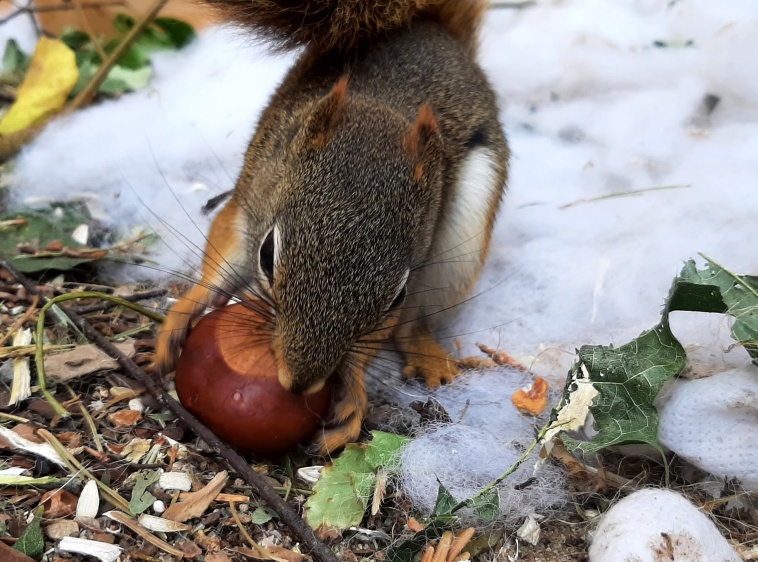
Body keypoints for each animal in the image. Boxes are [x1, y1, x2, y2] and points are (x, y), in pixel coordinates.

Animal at [156, 0, 510, 452]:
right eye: (267, 256)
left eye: (396, 295)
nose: (299, 382)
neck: (381, 110)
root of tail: (434, 31)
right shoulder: (250, 200)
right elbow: (219, 266)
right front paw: (177, 320)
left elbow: (379, 335)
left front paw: (353, 394)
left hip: (463, 240)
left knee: (413, 324)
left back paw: (427, 355)